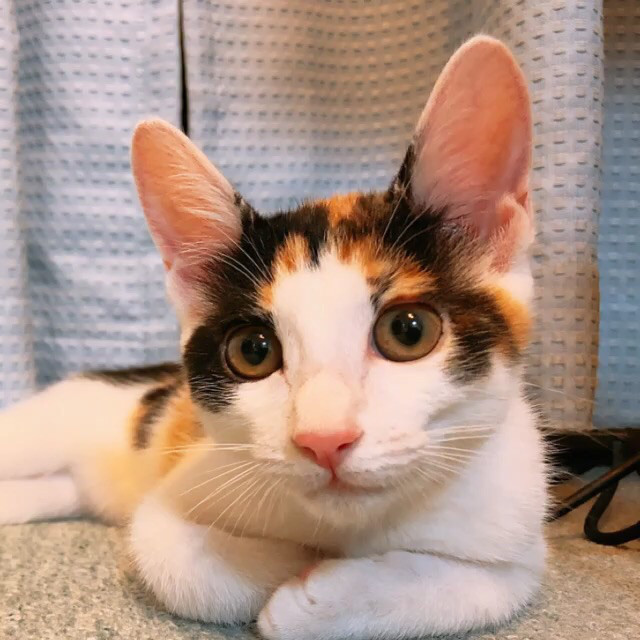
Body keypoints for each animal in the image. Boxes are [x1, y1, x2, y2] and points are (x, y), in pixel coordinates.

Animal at [0, 36, 547, 640]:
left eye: (409, 331)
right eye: (253, 351)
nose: (324, 439)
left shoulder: (516, 533)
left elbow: (478, 588)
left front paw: (326, 594)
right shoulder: (182, 483)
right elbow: (171, 552)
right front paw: (292, 563)